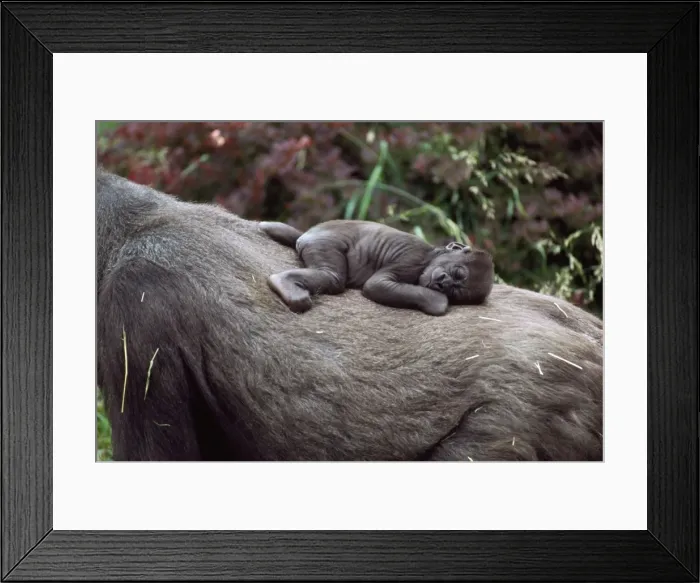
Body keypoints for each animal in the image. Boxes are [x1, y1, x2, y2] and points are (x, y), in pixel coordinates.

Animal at [258, 220, 494, 316]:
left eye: (456, 290)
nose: (443, 283)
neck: (432, 254)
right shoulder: (413, 259)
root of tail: (306, 235)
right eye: (456, 273)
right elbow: (376, 285)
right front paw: (437, 300)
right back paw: (284, 282)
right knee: (332, 277)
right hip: (322, 243)